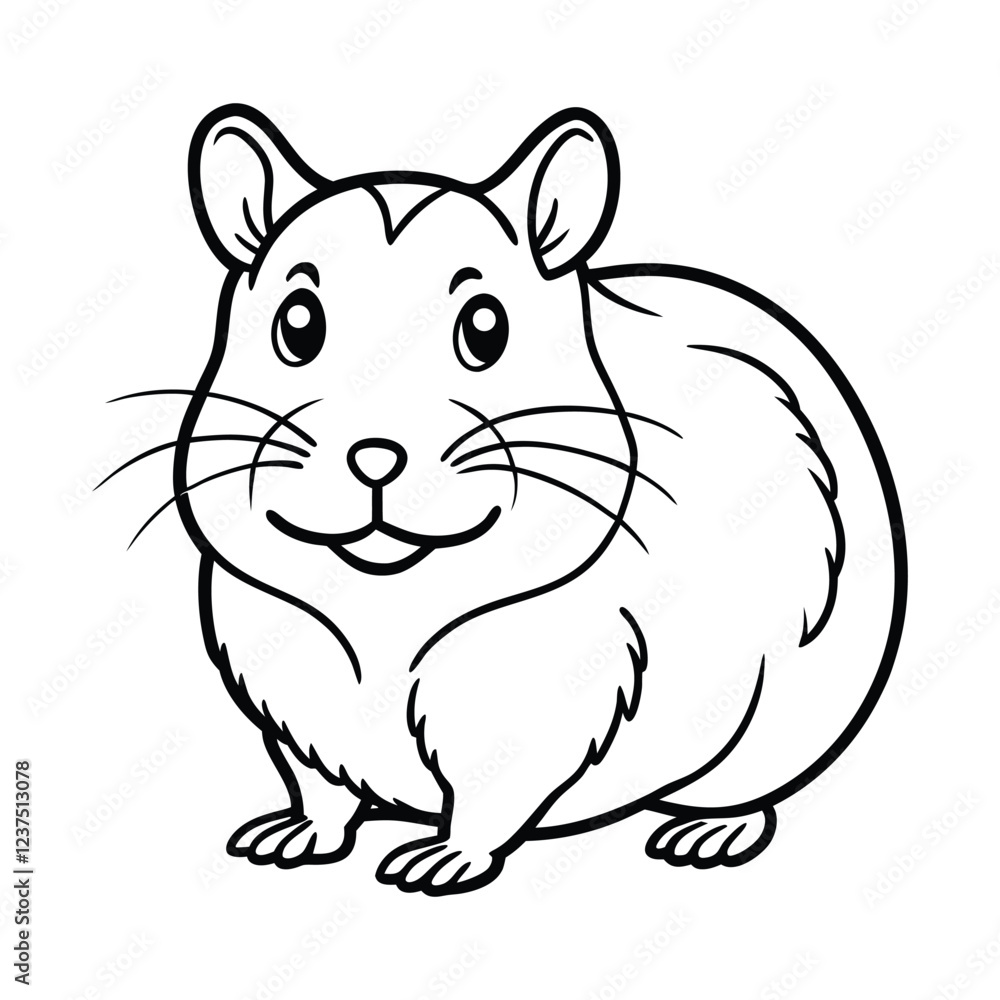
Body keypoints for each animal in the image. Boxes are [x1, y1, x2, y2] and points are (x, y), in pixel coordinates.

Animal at [164, 104, 905, 894]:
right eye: (297, 324)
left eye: (486, 328)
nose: (376, 457)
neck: (390, 593)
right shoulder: (289, 698)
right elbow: (320, 788)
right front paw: (287, 841)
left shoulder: (528, 701)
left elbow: (489, 794)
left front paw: (436, 865)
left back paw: (705, 836)